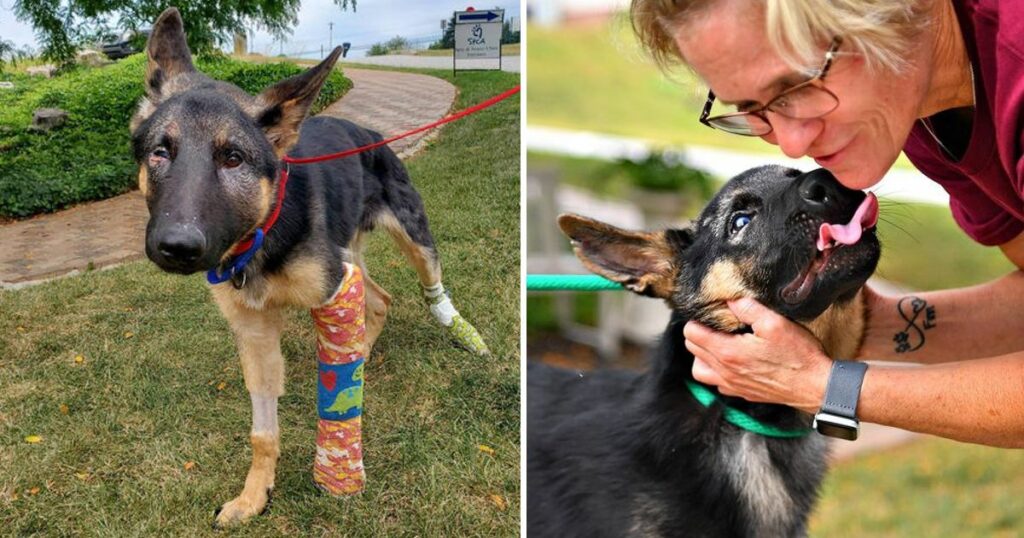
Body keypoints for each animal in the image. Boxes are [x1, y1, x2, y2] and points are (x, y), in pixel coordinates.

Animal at [131, 8, 487, 524]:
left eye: (233, 158)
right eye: (160, 151)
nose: (176, 247)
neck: (266, 228)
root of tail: (369, 133)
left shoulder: (333, 290)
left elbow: (335, 403)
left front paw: (338, 474)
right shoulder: (255, 330)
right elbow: (262, 431)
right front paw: (255, 493)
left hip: (413, 240)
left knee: (429, 288)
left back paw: (461, 333)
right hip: (350, 257)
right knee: (381, 299)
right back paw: (364, 348)